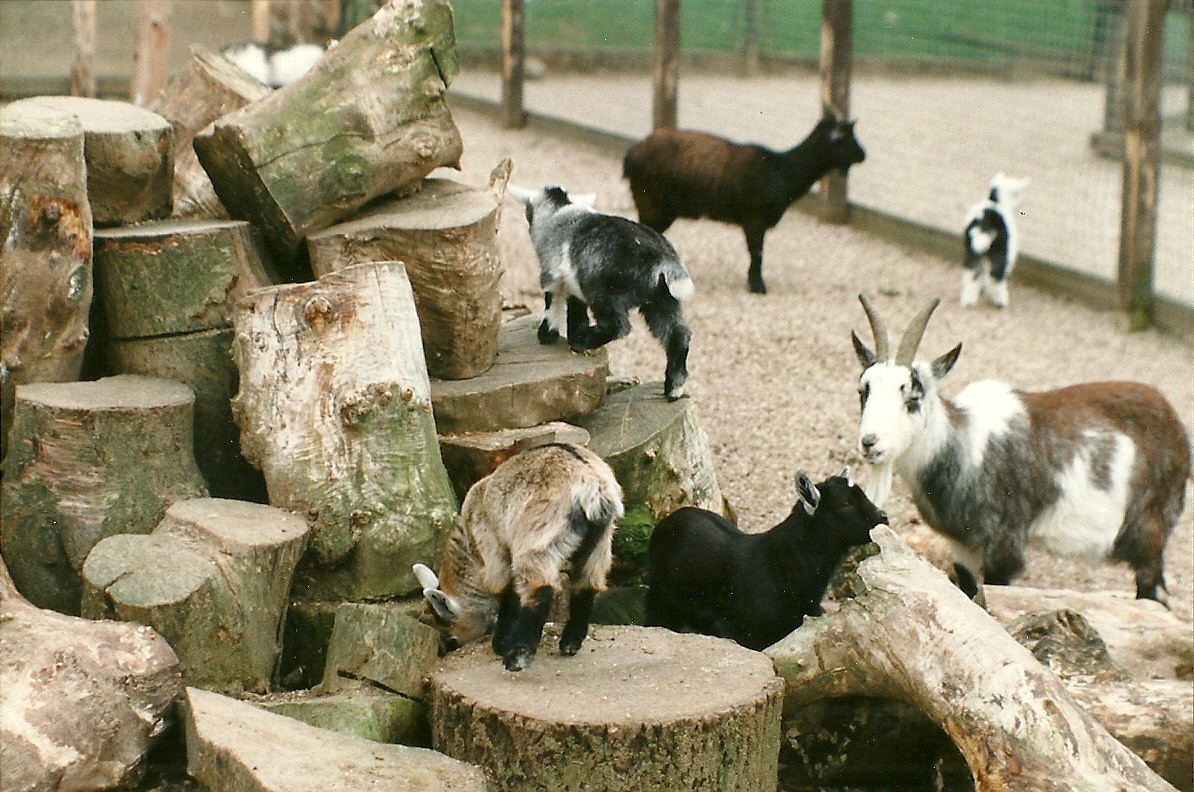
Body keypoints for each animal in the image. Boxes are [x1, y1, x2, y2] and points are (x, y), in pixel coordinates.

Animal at [413, 443, 623, 671]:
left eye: (447, 630)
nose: (443, 649)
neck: (470, 544)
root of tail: (592, 480)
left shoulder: (496, 551)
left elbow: (506, 591)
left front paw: (500, 642)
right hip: (599, 541)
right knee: (587, 584)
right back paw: (570, 642)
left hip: (539, 538)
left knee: (540, 588)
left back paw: (517, 655)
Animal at [508, 184, 694, 401]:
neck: (559, 214)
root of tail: (664, 260)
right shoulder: (573, 283)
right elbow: (576, 309)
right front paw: (571, 332)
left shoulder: (551, 275)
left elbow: (552, 303)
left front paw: (548, 335)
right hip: (662, 299)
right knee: (678, 333)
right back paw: (674, 388)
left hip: (604, 292)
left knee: (618, 326)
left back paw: (582, 341)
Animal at [622, 115, 866, 294]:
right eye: (844, 140)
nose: (863, 155)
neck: (782, 171)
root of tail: (632, 154)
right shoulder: (754, 218)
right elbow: (757, 252)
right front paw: (758, 286)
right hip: (652, 204)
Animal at [851, 293, 1190, 605]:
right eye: (863, 392)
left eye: (912, 399)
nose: (870, 442)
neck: (964, 446)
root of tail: (1176, 427)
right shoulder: (964, 546)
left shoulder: (1005, 544)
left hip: (1150, 529)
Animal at [961, 173, 1030, 309]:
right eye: (1016, 194)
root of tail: (986, 221)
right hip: (1001, 252)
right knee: (996, 276)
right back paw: (1000, 301)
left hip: (972, 250)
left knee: (972, 273)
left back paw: (968, 300)